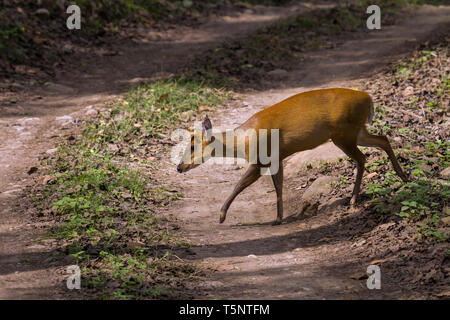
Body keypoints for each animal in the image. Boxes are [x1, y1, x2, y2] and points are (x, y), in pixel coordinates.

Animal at [178, 88, 410, 225]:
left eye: (192, 146)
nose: (179, 167)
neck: (244, 141)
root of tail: (369, 98)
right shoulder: (276, 158)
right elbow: (278, 186)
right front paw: (279, 218)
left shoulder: (262, 158)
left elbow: (240, 184)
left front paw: (221, 216)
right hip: (355, 132)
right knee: (382, 139)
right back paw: (403, 177)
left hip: (344, 134)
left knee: (363, 157)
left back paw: (355, 199)